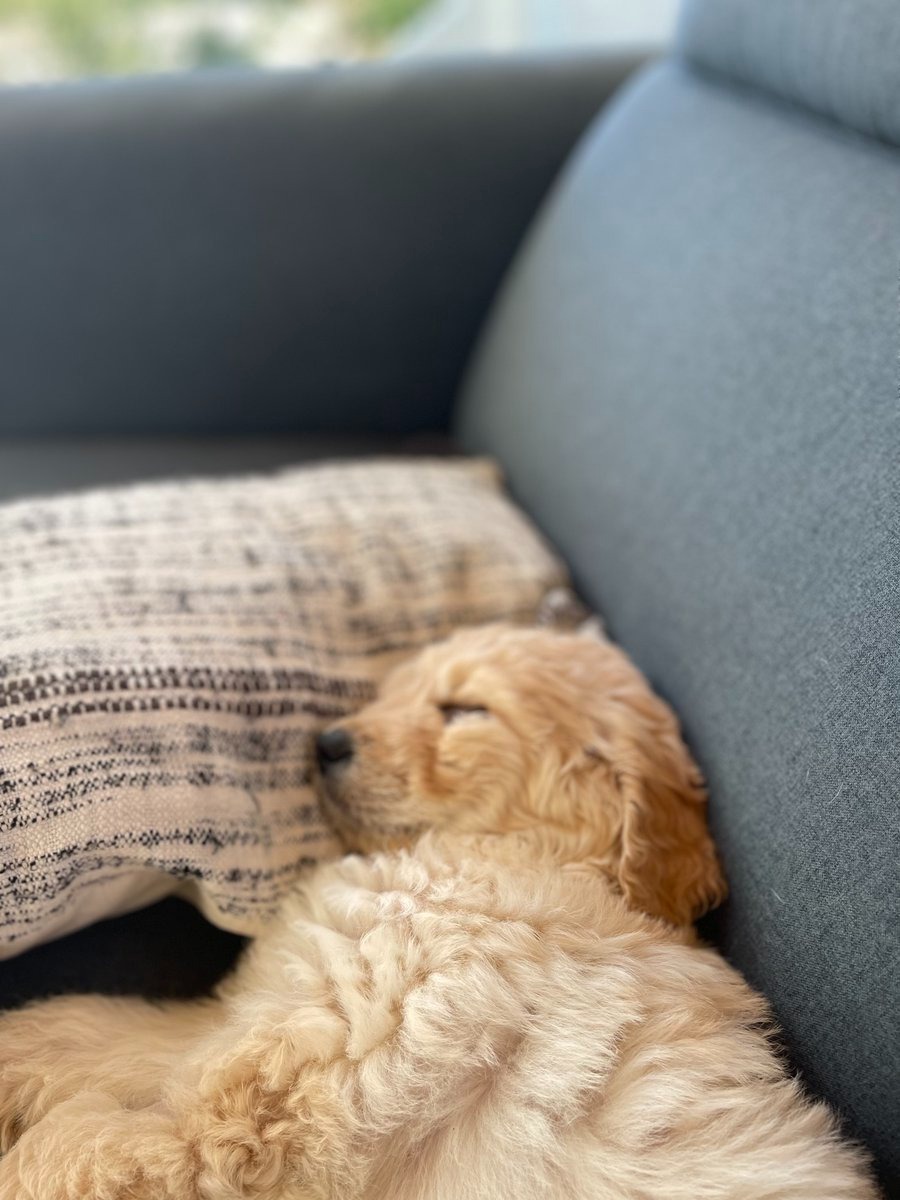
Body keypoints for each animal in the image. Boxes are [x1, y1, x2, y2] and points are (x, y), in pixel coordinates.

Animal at [0, 624, 878, 1195]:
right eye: (394, 692)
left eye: (464, 710)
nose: (325, 744)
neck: (505, 856)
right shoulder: (264, 1021)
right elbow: (91, 1030)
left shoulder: (267, 1107)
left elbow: (72, 1148)